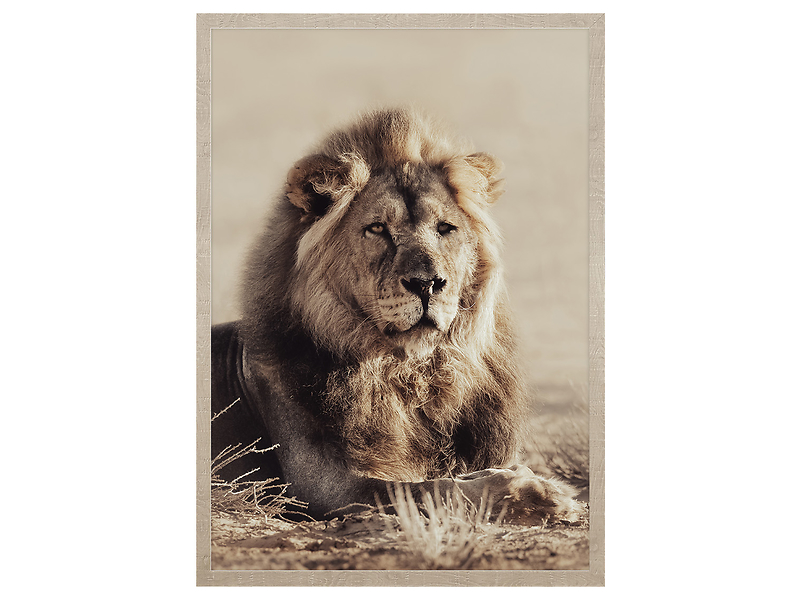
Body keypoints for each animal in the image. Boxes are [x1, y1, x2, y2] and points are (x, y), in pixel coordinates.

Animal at [211, 108, 582, 525]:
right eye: (377, 228)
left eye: (445, 228)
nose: (428, 284)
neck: (412, 377)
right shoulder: (323, 487)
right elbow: (430, 490)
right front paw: (536, 493)